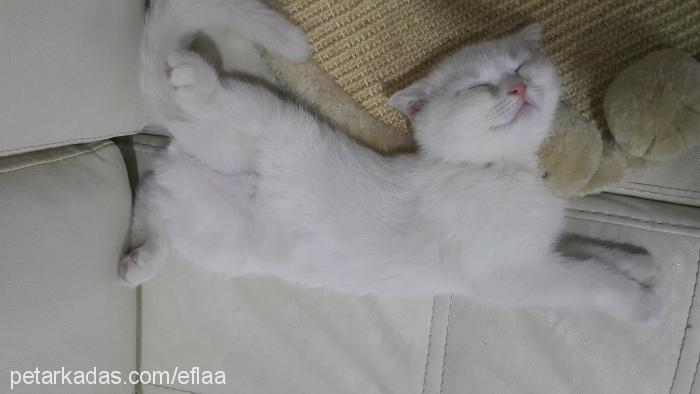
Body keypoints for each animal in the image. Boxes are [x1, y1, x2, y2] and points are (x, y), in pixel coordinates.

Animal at [123, 0, 664, 324]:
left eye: (520, 66)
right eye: (476, 88)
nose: (516, 87)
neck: (500, 171)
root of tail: (180, 134)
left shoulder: (538, 248)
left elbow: (583, 247)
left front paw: (636, 263)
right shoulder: (514, 275)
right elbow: (587, 277)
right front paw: (640, 303)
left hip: (217, 236)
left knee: (150, 191)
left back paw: (140, 260)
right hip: (247, 122)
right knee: (192, 115)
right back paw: (191, 78)